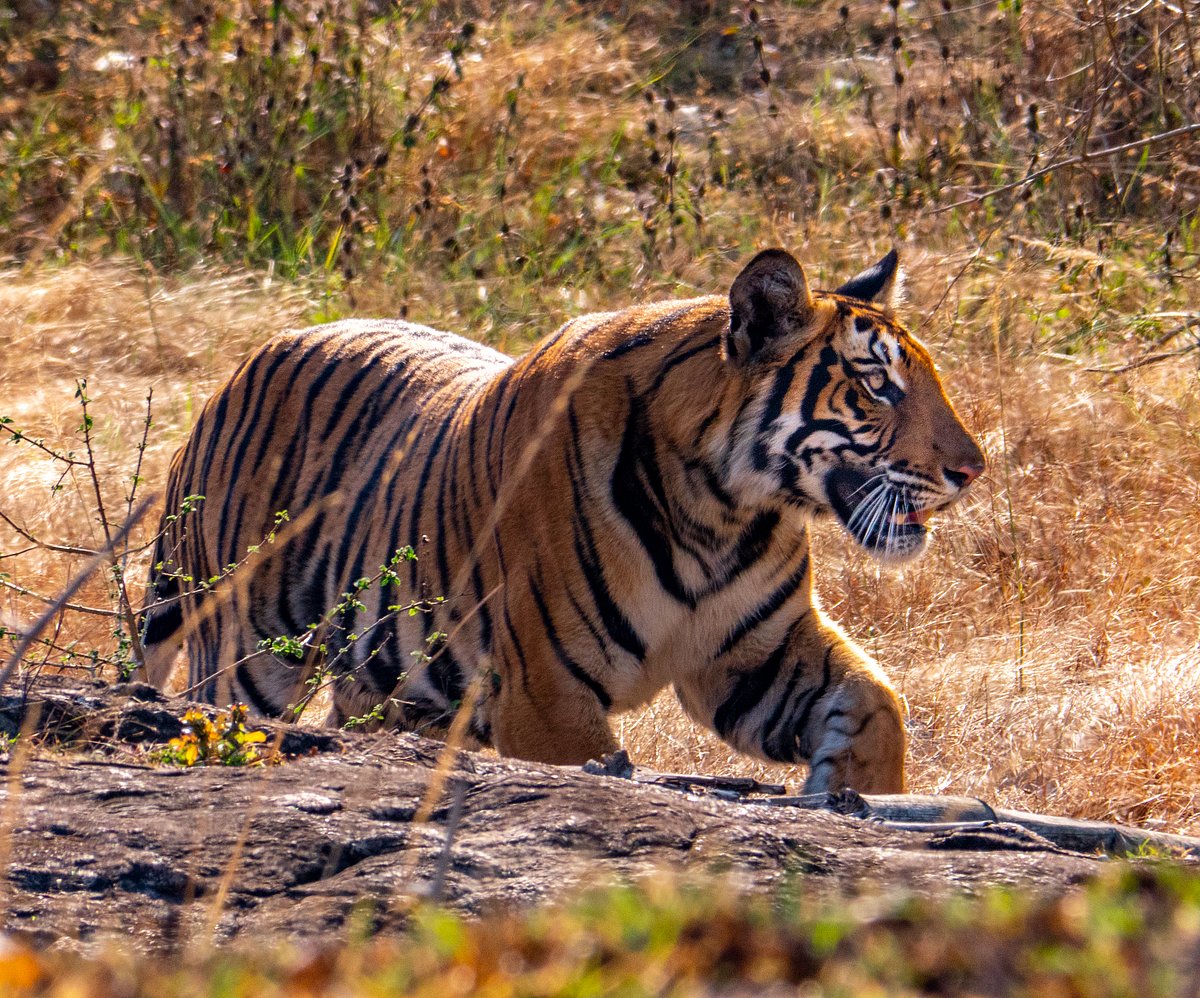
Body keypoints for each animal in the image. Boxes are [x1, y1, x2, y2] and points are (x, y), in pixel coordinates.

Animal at [140, 247, 984, 794]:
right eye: (878, 388)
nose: (972, 470)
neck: (725, 510)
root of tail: (243, 367)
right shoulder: (544, 693)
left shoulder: (756, 655)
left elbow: (878, 703)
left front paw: (852, 794)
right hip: (245, 652)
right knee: (218, 712)